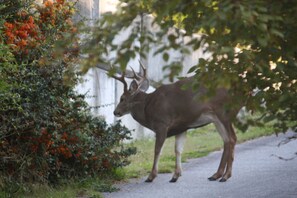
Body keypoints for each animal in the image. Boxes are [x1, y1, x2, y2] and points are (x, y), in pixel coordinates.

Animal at [110, 61, 242, 183]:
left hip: (224, 112)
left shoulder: (162, 123)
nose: (115, 112)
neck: (148, 107)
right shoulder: (181, 127)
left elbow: (157, 150)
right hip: (216, 119)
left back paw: (225, 176)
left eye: (122, 98)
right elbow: (178, 150)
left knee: (231, 138)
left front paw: (151, 176)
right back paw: (216, 175)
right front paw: (176, 175)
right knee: (227, 140)